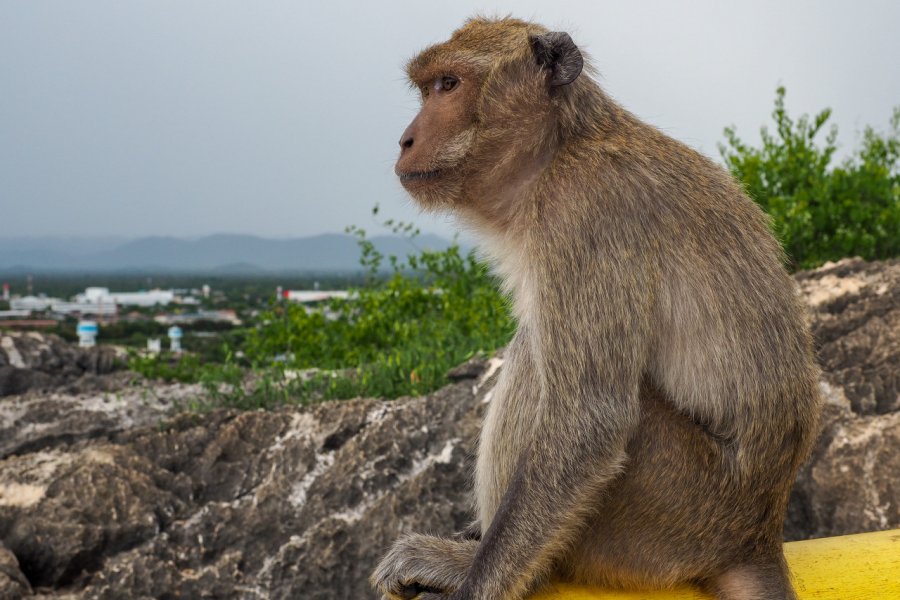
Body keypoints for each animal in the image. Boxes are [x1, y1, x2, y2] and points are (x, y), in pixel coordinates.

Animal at [370, 17, 820, 600]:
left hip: (670, 511)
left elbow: (589, 418)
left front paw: (476, 583)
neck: (562, 148)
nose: (406, 139)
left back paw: (472, 563)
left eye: (449, 85)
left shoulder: (585, 211)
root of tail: (758, 531)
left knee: (539, 362)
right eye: (427, 89)